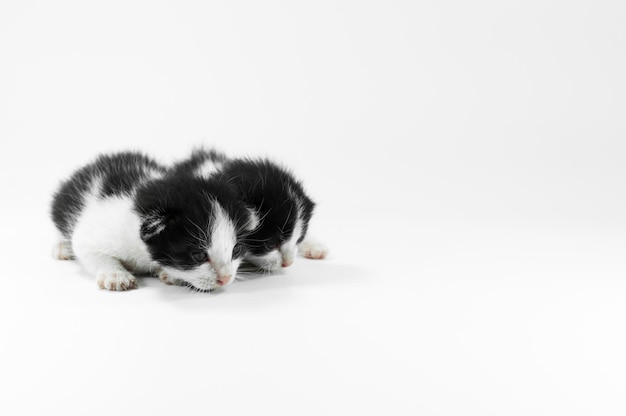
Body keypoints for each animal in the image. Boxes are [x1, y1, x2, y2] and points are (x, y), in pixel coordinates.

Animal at [50, 151, 258, 290]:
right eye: (198, 255)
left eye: (236, 250)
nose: (226, 279)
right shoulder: (95, 232)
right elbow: (92, 252)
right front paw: (116, 275)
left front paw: (170, 275)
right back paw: (62, 247)